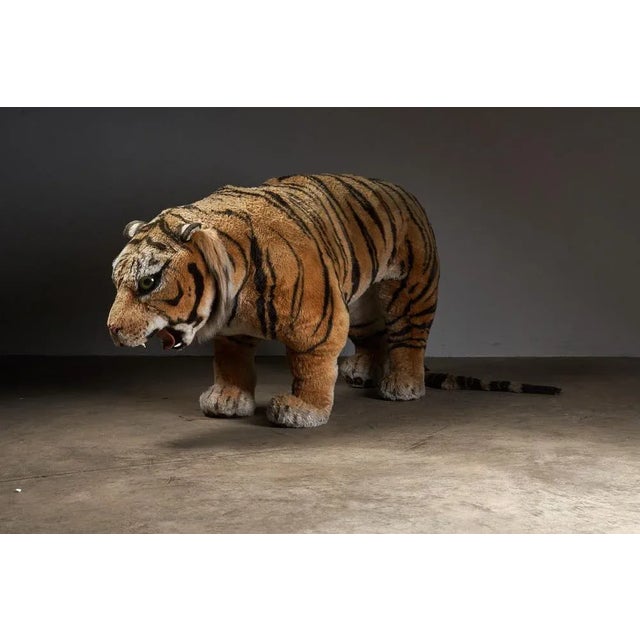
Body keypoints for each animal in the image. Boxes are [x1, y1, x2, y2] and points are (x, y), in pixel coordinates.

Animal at [107, 174, 560, 428]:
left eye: (149, 281)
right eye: (115, 279)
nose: (111, 330)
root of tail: (406, 192)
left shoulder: (317, 321)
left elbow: (310, 367)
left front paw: (301, 411)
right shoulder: (232, 331)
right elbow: (231, 362)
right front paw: (227, 399)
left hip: (410, 290)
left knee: (408, 339)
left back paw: (402, 385)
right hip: (359, 301)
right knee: (374, 336)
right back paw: (362, 372)